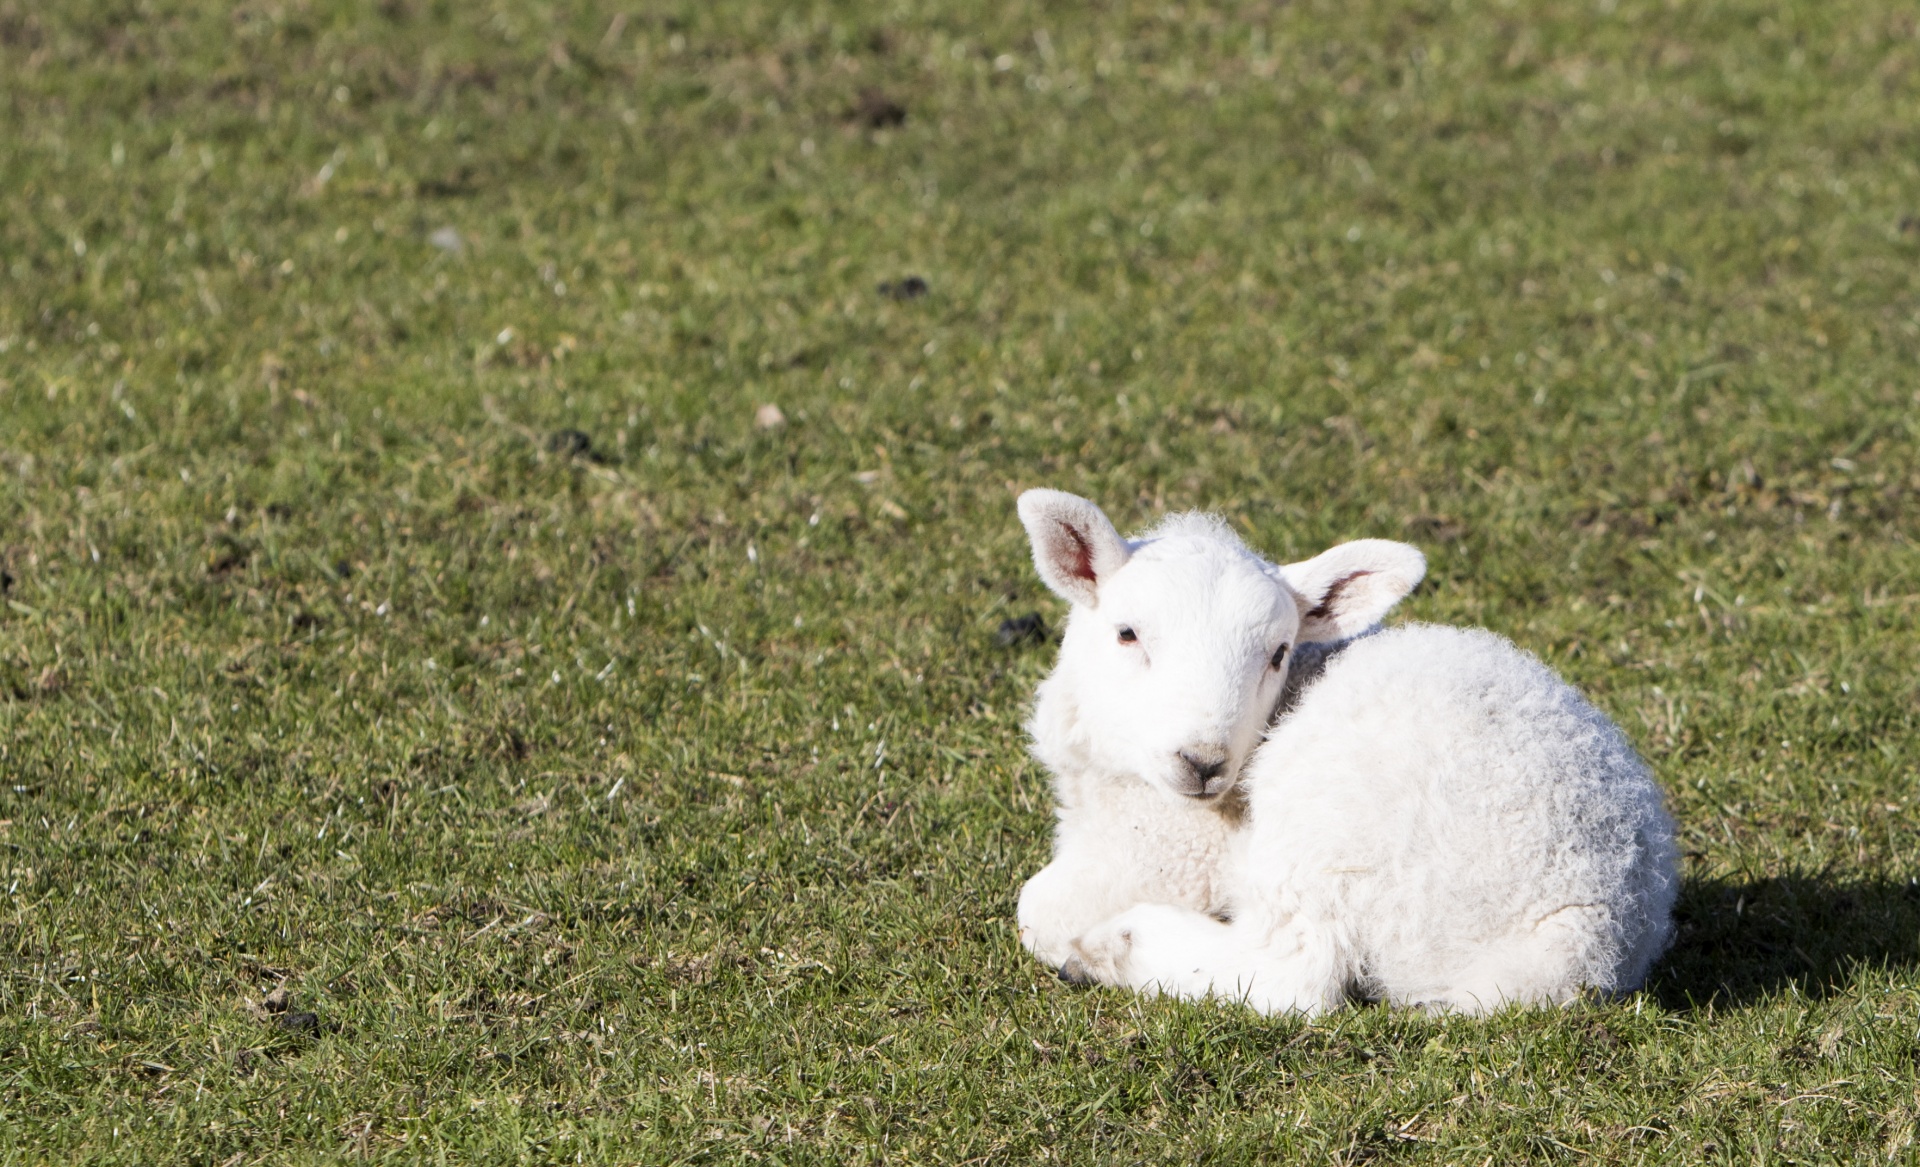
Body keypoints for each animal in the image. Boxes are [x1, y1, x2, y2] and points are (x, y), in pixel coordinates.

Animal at [1013, 487, 1674, 1013]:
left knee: (1297, 975)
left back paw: (1116, 947)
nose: (1204, 763)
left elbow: (1037, 908)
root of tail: (1585, 933)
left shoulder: (1170, 850)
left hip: (1328, 831)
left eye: (1279, 653)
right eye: (1127, 634)